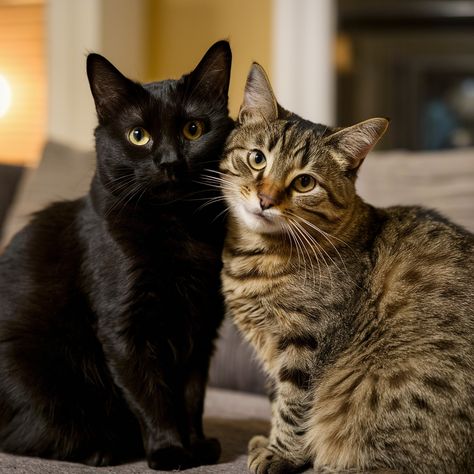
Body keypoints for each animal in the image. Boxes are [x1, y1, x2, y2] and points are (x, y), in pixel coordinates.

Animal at [0, 40, 234, 470]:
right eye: (138, 135)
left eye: (193, 129)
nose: (170, 162)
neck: (177, 230)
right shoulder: (125, 328)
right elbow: (151, 396)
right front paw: (169, 450)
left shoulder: (201, 327)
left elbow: (192, 395)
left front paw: (196, 445)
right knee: (27, 433)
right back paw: (102, 450)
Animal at [218, 64, 474, 474]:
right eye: (257, 159)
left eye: (305, 182)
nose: (265, 199)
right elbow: (277, 397)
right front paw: (269, 442)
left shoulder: (307, 342)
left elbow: (293, 403)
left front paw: (280, 453)